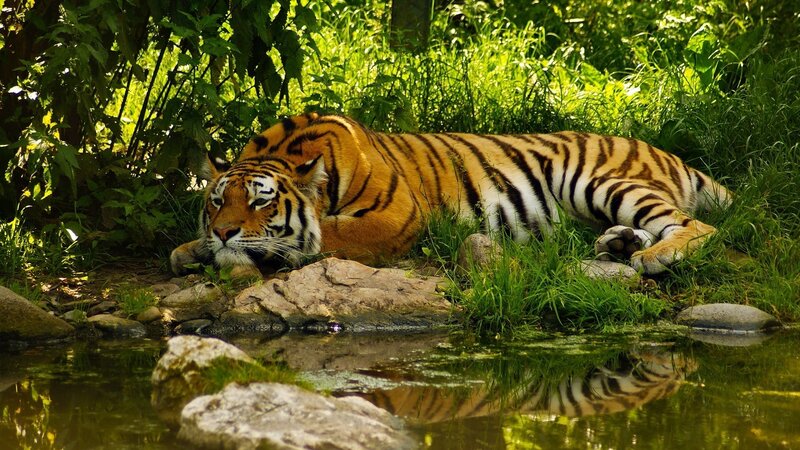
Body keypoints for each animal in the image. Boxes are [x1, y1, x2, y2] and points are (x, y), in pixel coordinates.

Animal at [170, 112, 731, 277]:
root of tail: (665, 152)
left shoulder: (395, 216)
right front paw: (191, 249)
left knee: (697, 226)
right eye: (217, 200)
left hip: (598, 180)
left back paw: (654, 257)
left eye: (261, 201)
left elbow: (324, 234)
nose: (224, 232)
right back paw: (619, 244)